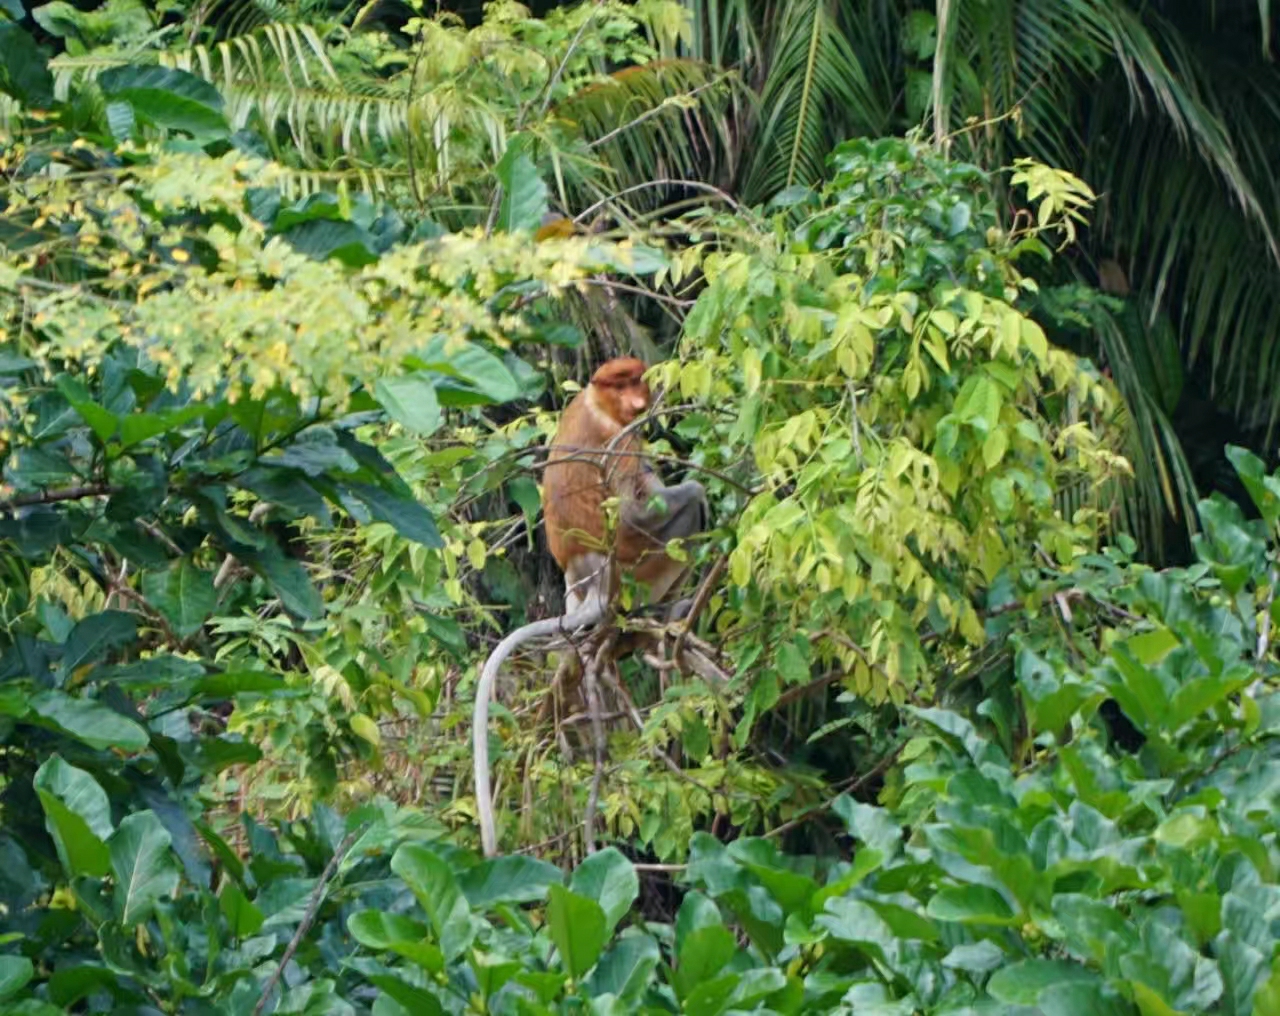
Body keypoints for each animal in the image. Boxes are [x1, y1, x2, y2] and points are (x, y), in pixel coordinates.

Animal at [473, 355, 706, 854]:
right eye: (620, 384)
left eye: (636, 379)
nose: (637, 400)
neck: (597, 402)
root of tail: (588, 577)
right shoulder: (621, 439)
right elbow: (638, 509)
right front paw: (696, 487)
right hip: (633, 570)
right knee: (675, 517)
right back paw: (662, 612)